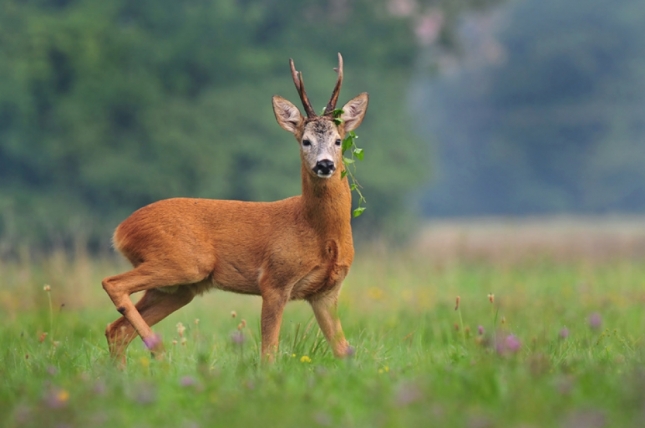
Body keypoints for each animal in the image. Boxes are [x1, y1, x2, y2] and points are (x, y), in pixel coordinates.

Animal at [103, 52, 370, 364]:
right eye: (306, 141)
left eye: (338, 141)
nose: (325, 164)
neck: (319, 233)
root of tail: (121, 230)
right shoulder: (274, 280)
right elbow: (269, 352)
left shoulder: (326, 292)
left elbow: (343, 351)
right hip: (184, 262)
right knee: (112, 284)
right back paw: (159, 349)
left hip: (178, 288)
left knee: (116, 329)